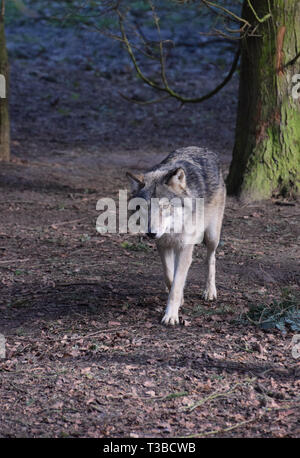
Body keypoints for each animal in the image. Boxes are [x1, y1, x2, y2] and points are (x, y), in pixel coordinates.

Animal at [126, 147, 225, 326]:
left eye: (165, 206)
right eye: (145, 207)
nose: (151, 233)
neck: (172, 229)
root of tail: (204, 149)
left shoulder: (184, 248)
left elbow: (177, 285)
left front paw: (171, 315)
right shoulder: (162, 245)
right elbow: (169, 276)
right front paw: (180, 300)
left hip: (212, 236)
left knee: (211, 259)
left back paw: (209, 291)